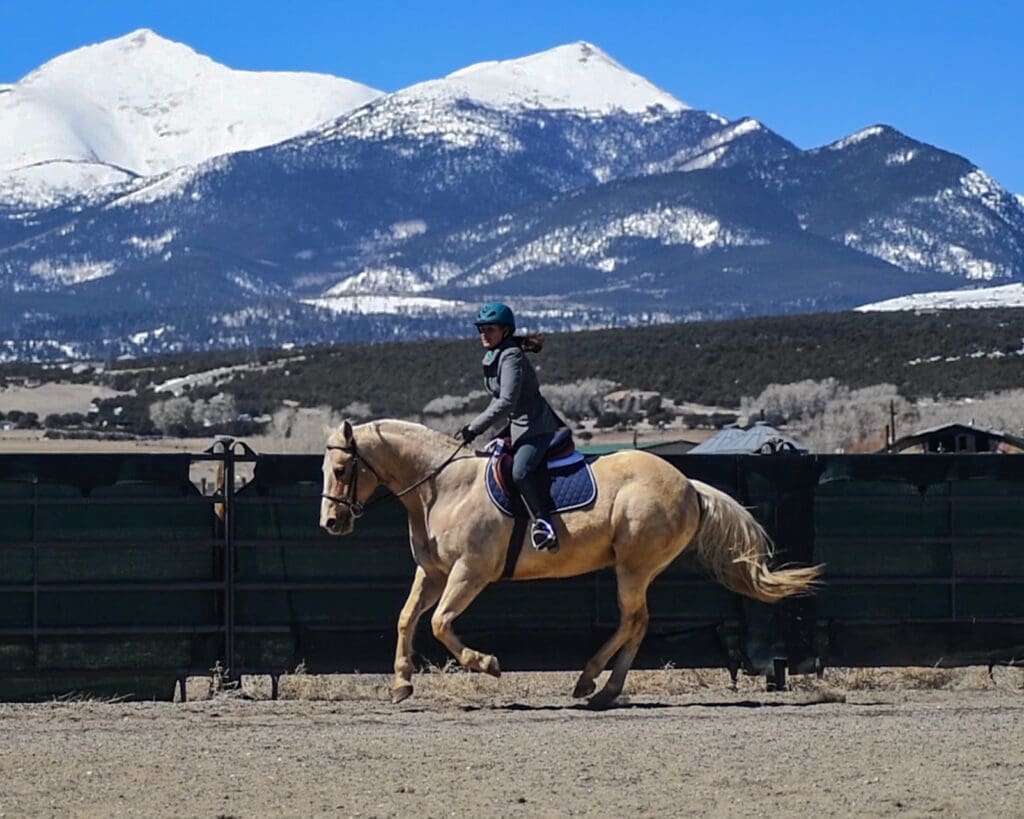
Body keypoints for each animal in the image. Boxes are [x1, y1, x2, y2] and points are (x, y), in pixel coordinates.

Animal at [320, 419, 821, 708]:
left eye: (342, 470)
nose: (331, 522)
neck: (443, 487)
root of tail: (689, 485)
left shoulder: (469, 573)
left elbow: (441, 623)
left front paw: (487, 663)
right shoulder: (435, 573)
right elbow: (407, 618)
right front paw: (401, 685)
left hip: (633, 568)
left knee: (633, 620)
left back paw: (594, 684)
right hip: (636, 569)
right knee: (637, 622)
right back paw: (599, 686)